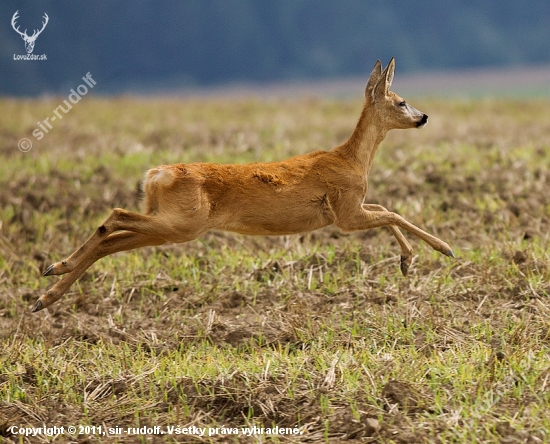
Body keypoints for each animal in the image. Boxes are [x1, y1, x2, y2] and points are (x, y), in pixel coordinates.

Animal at [35, 59, 458, 312]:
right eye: (401, 101)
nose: (423, 117)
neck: (352, 159)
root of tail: (155, 174)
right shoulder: (344, 211)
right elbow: (392, 212)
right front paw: (439, 249)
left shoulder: (347, 210)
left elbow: (387, 210)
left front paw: (407, 261)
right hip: (183, 221)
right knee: (115, 216)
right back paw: (56, 268)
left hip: (171, 223)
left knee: (111, 240)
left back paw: (47, 290)